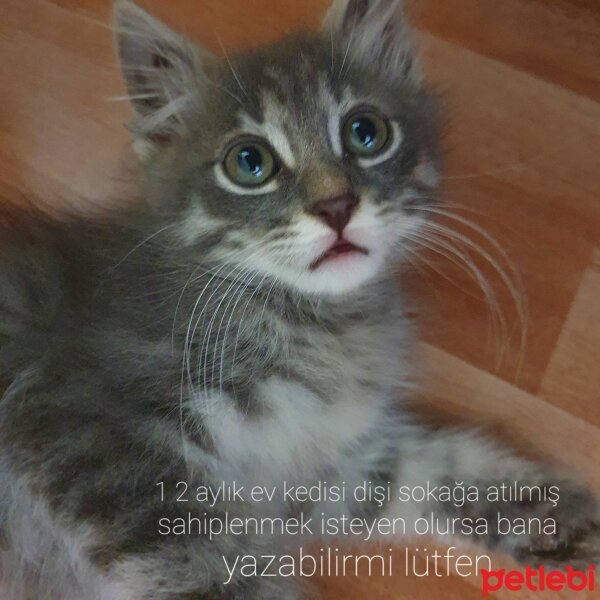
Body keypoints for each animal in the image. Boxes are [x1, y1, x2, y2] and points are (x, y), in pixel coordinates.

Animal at [0, 1, 596, 600]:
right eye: (249, 162)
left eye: (365, 132)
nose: (336, 205)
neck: (315, 327)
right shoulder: (81, 427)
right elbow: (209, 570)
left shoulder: (322, 469)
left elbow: (434, 462)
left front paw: (556, 515)